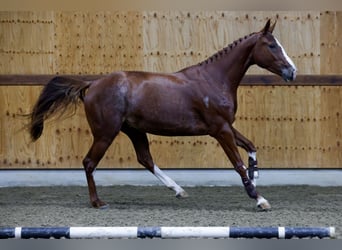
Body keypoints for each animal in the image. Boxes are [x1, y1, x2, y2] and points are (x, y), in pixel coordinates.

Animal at [29, 20, 296, 210]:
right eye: (272, 45)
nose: (292, 71)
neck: (214, 80)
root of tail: (92, 84)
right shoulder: (220, 130)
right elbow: (238, 164)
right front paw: (259, 198)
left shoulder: (226, 126)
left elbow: (251, 146)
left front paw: (255, 176)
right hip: (106, 133)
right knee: (89, 162)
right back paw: (97, 202)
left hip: (134, 130)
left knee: (145, 159)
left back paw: (178, 190)